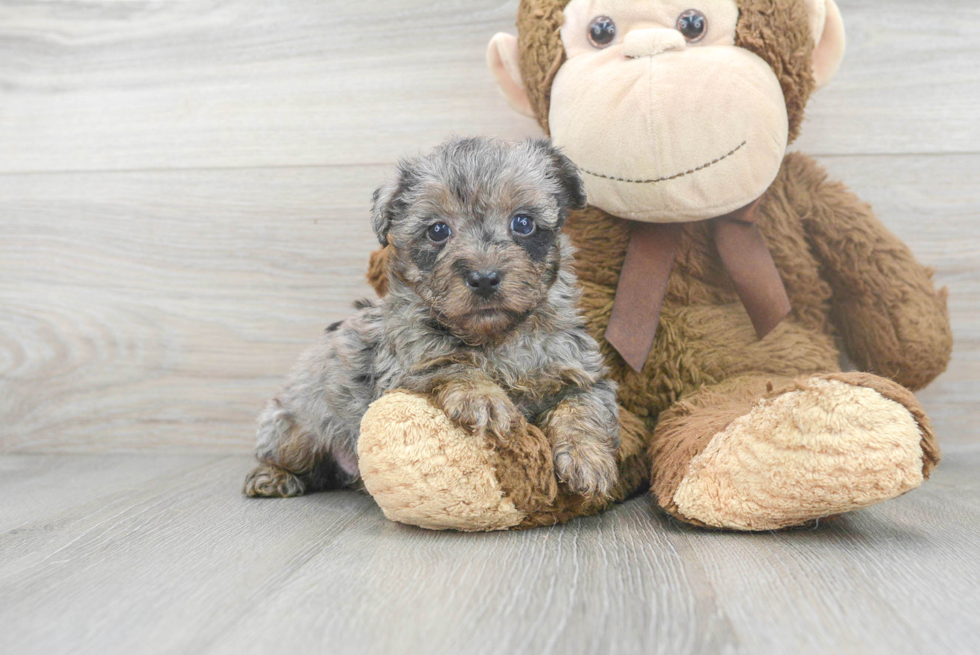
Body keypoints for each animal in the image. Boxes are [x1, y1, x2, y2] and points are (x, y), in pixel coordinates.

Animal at [243, 136, 620, 500]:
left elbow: (583, 409)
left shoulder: (581, 372)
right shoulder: (402, 368)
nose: (484, 278)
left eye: (523, 223)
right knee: (285, 452)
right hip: (295, 427)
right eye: (438, 231)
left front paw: (588, 459)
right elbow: (448, 363)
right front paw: (484, 398)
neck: (498, 336)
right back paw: (272, 476)